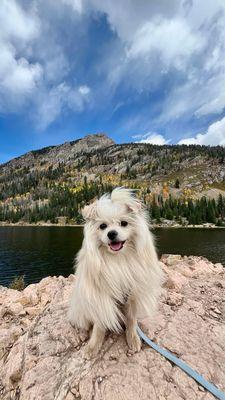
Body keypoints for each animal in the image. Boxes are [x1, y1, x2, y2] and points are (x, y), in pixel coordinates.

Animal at [68, 188, 163, 360]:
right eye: (103, 226)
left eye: (124, 223)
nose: (111, 234)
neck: (118, 259)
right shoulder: (101, 297)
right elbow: (99, 325)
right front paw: (93, 346)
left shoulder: (132, 294)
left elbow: (131, 320)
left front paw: (133, 338)